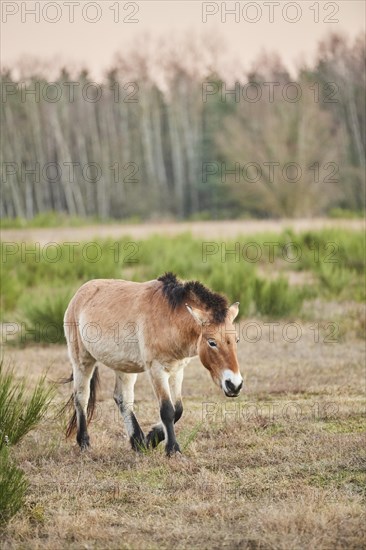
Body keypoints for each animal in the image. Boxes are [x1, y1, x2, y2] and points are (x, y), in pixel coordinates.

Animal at [63, 272, 243, 458]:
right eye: (212, 342)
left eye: (236, 340)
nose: (234, 385)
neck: (169, 316)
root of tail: (79, 294)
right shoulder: (156, 370)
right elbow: (167, 410)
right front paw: (172, 449)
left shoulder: (177, 370)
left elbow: (178, 409)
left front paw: (151, 439)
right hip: (82, 361)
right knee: (81, 398)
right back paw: (84, 443)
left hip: (124, 367)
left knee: (123, 399)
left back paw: (138, 442)